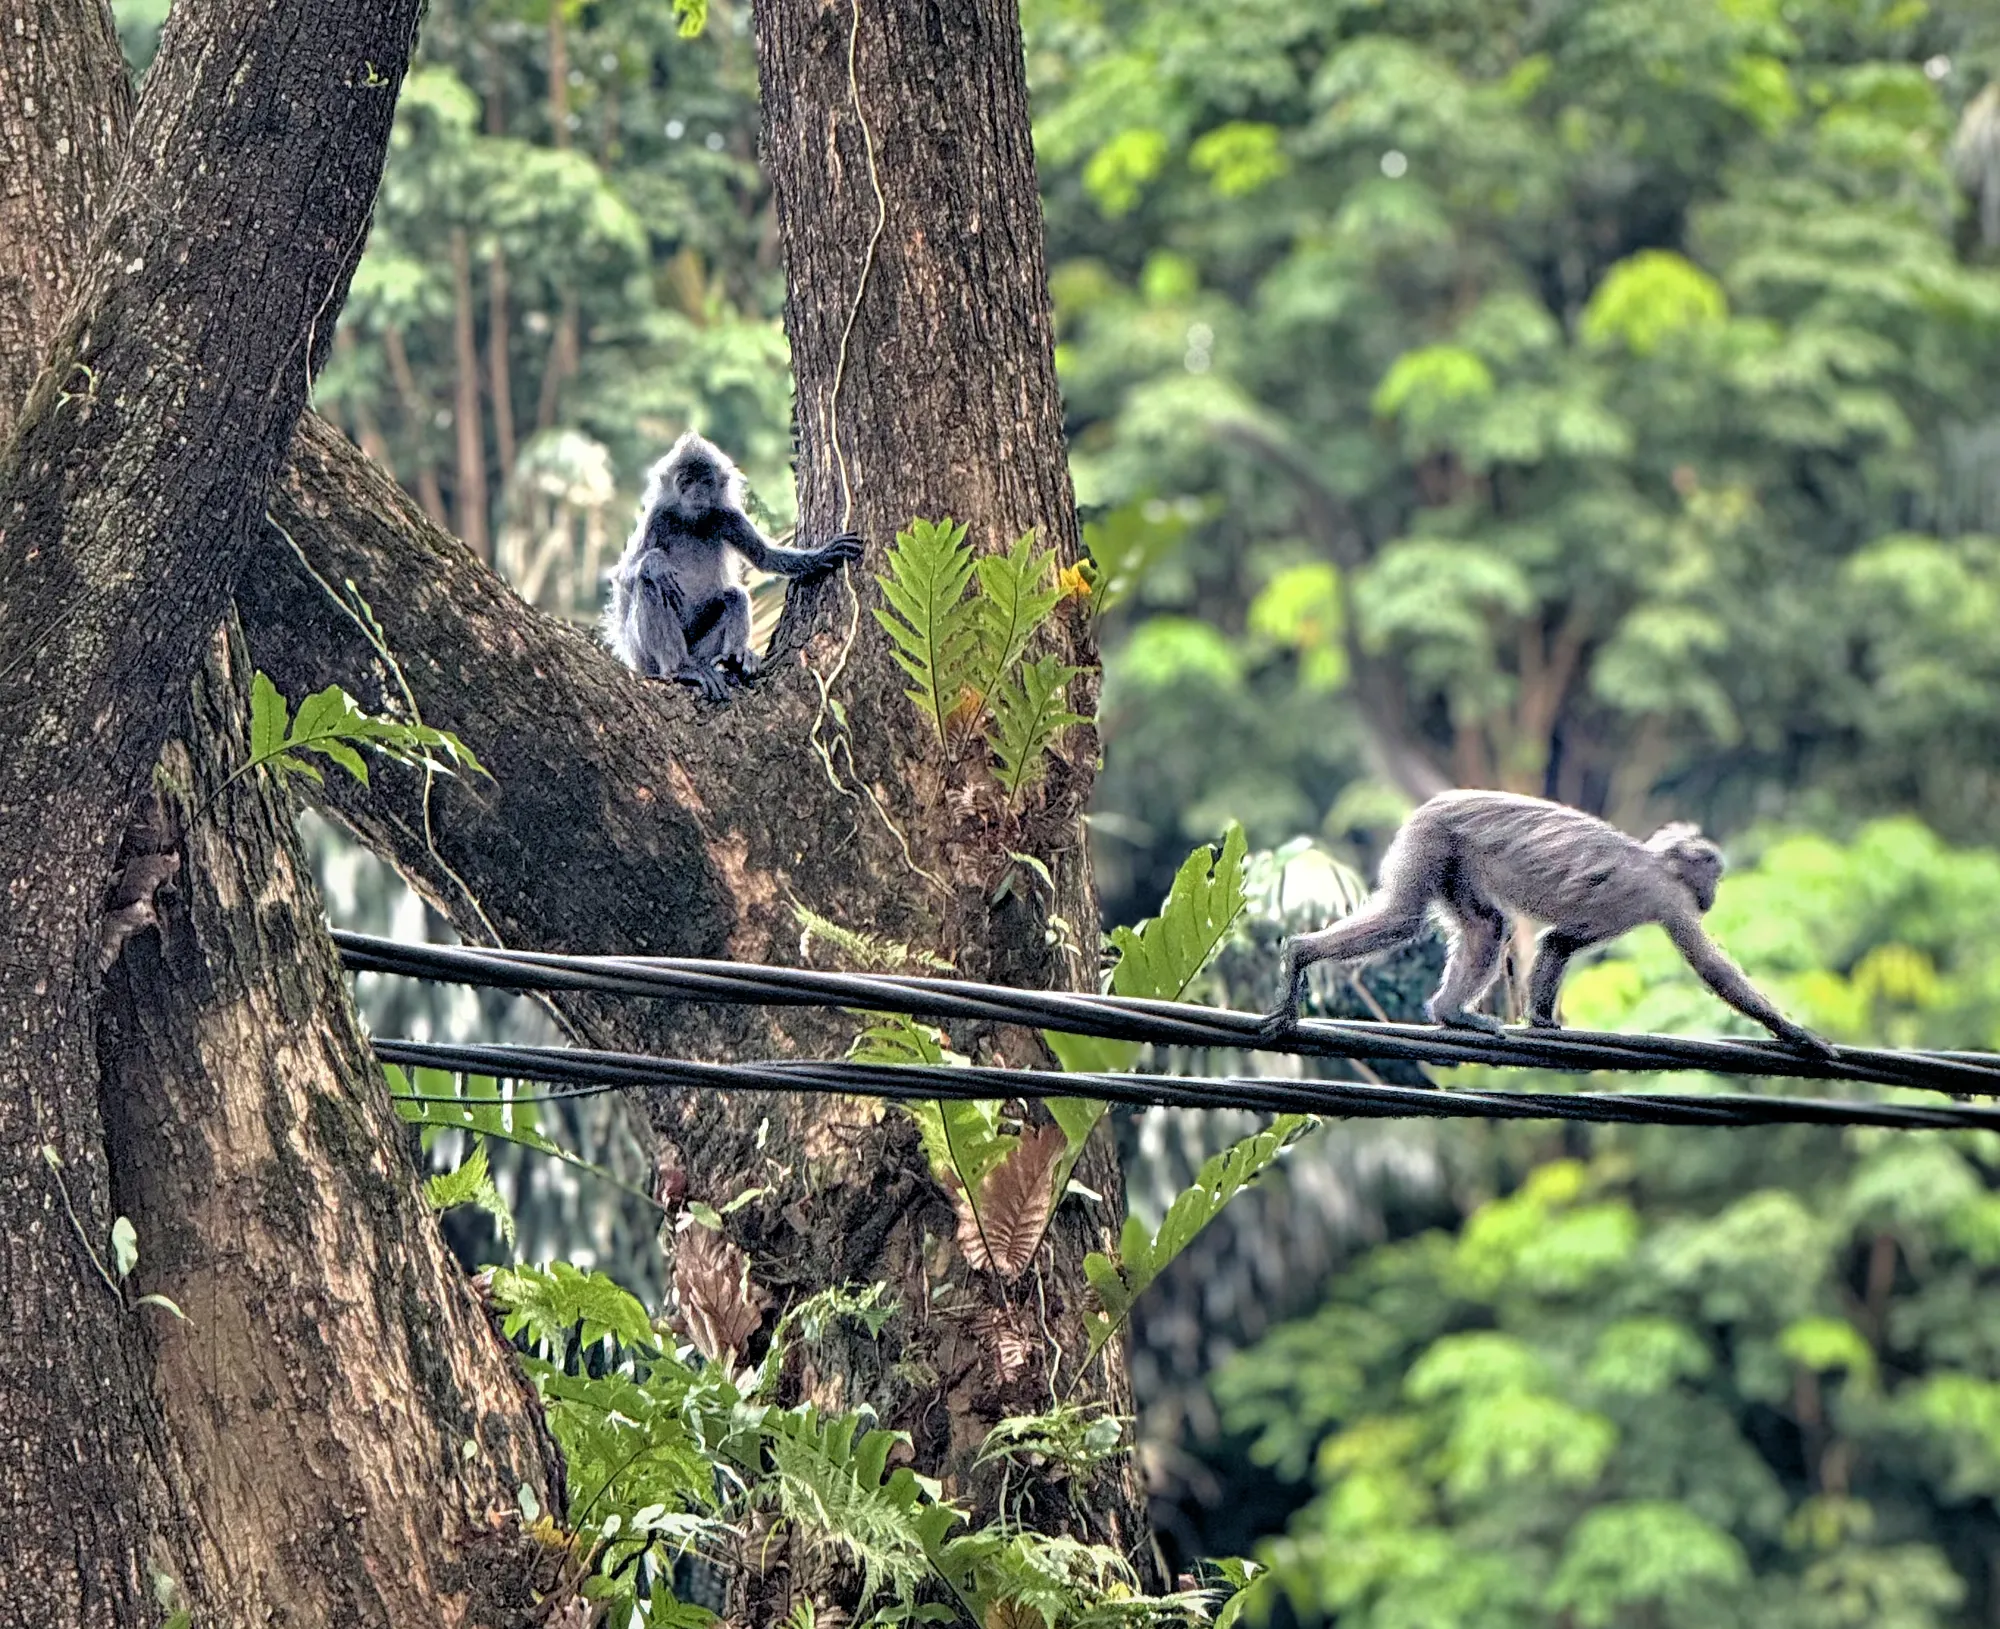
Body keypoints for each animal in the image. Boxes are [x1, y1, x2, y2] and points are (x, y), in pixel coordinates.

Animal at [602, 431, 864, 701]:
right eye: (686, 482)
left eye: (705, 482)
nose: (697, 493)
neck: (692, 522)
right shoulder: (657, 516)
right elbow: (623, 576)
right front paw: (654, 562)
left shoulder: (728, 516)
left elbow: (764, 556)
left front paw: (823, 554)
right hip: (645, 658)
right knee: (649, 584)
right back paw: (681, 669)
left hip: (701, 651)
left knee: (734, 595)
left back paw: (734, 660)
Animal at [1263, 790, 1836, 1058]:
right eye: (1713, 877)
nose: (1713, 896)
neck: (1657, 861)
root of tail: (1435, 802)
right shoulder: (1669, 899)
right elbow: (1714, 971)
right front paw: (1799, 1036)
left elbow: (1557, 942)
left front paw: (1540, 1020)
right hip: (1433, 838)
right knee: (1404, 918)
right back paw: (1300, 955)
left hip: (1450, 854)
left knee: (1486, 927)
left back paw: (1450, 1014)